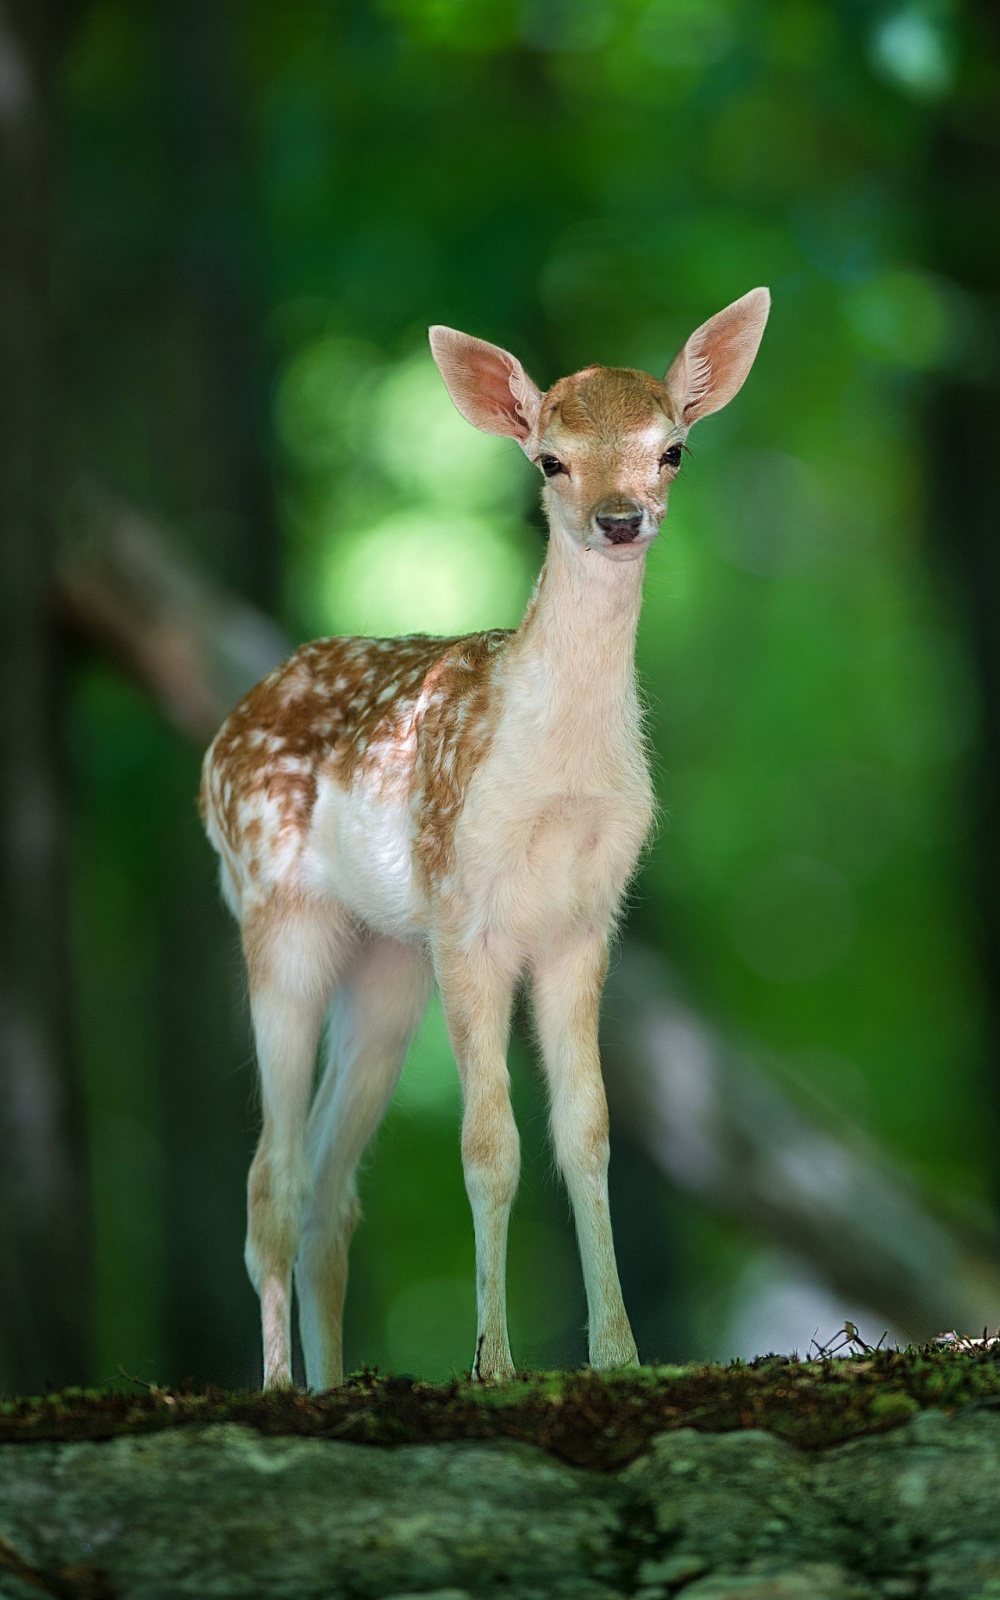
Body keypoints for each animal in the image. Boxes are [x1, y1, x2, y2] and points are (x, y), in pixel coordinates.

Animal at [200, 287, 770, 1390]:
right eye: (549, 458)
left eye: (672, 449)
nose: (620, 519)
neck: (555, 775)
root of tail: (219, 740)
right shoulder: (467, 912)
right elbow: (488, 1144)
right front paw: (494, 1363)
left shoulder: (585, 922)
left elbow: (585, 1135)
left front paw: (620, 1355)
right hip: (278, 909)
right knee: (267, 1175)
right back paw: (281, 1385)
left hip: (388, 959)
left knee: (330, 1185)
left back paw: (333, 1379)